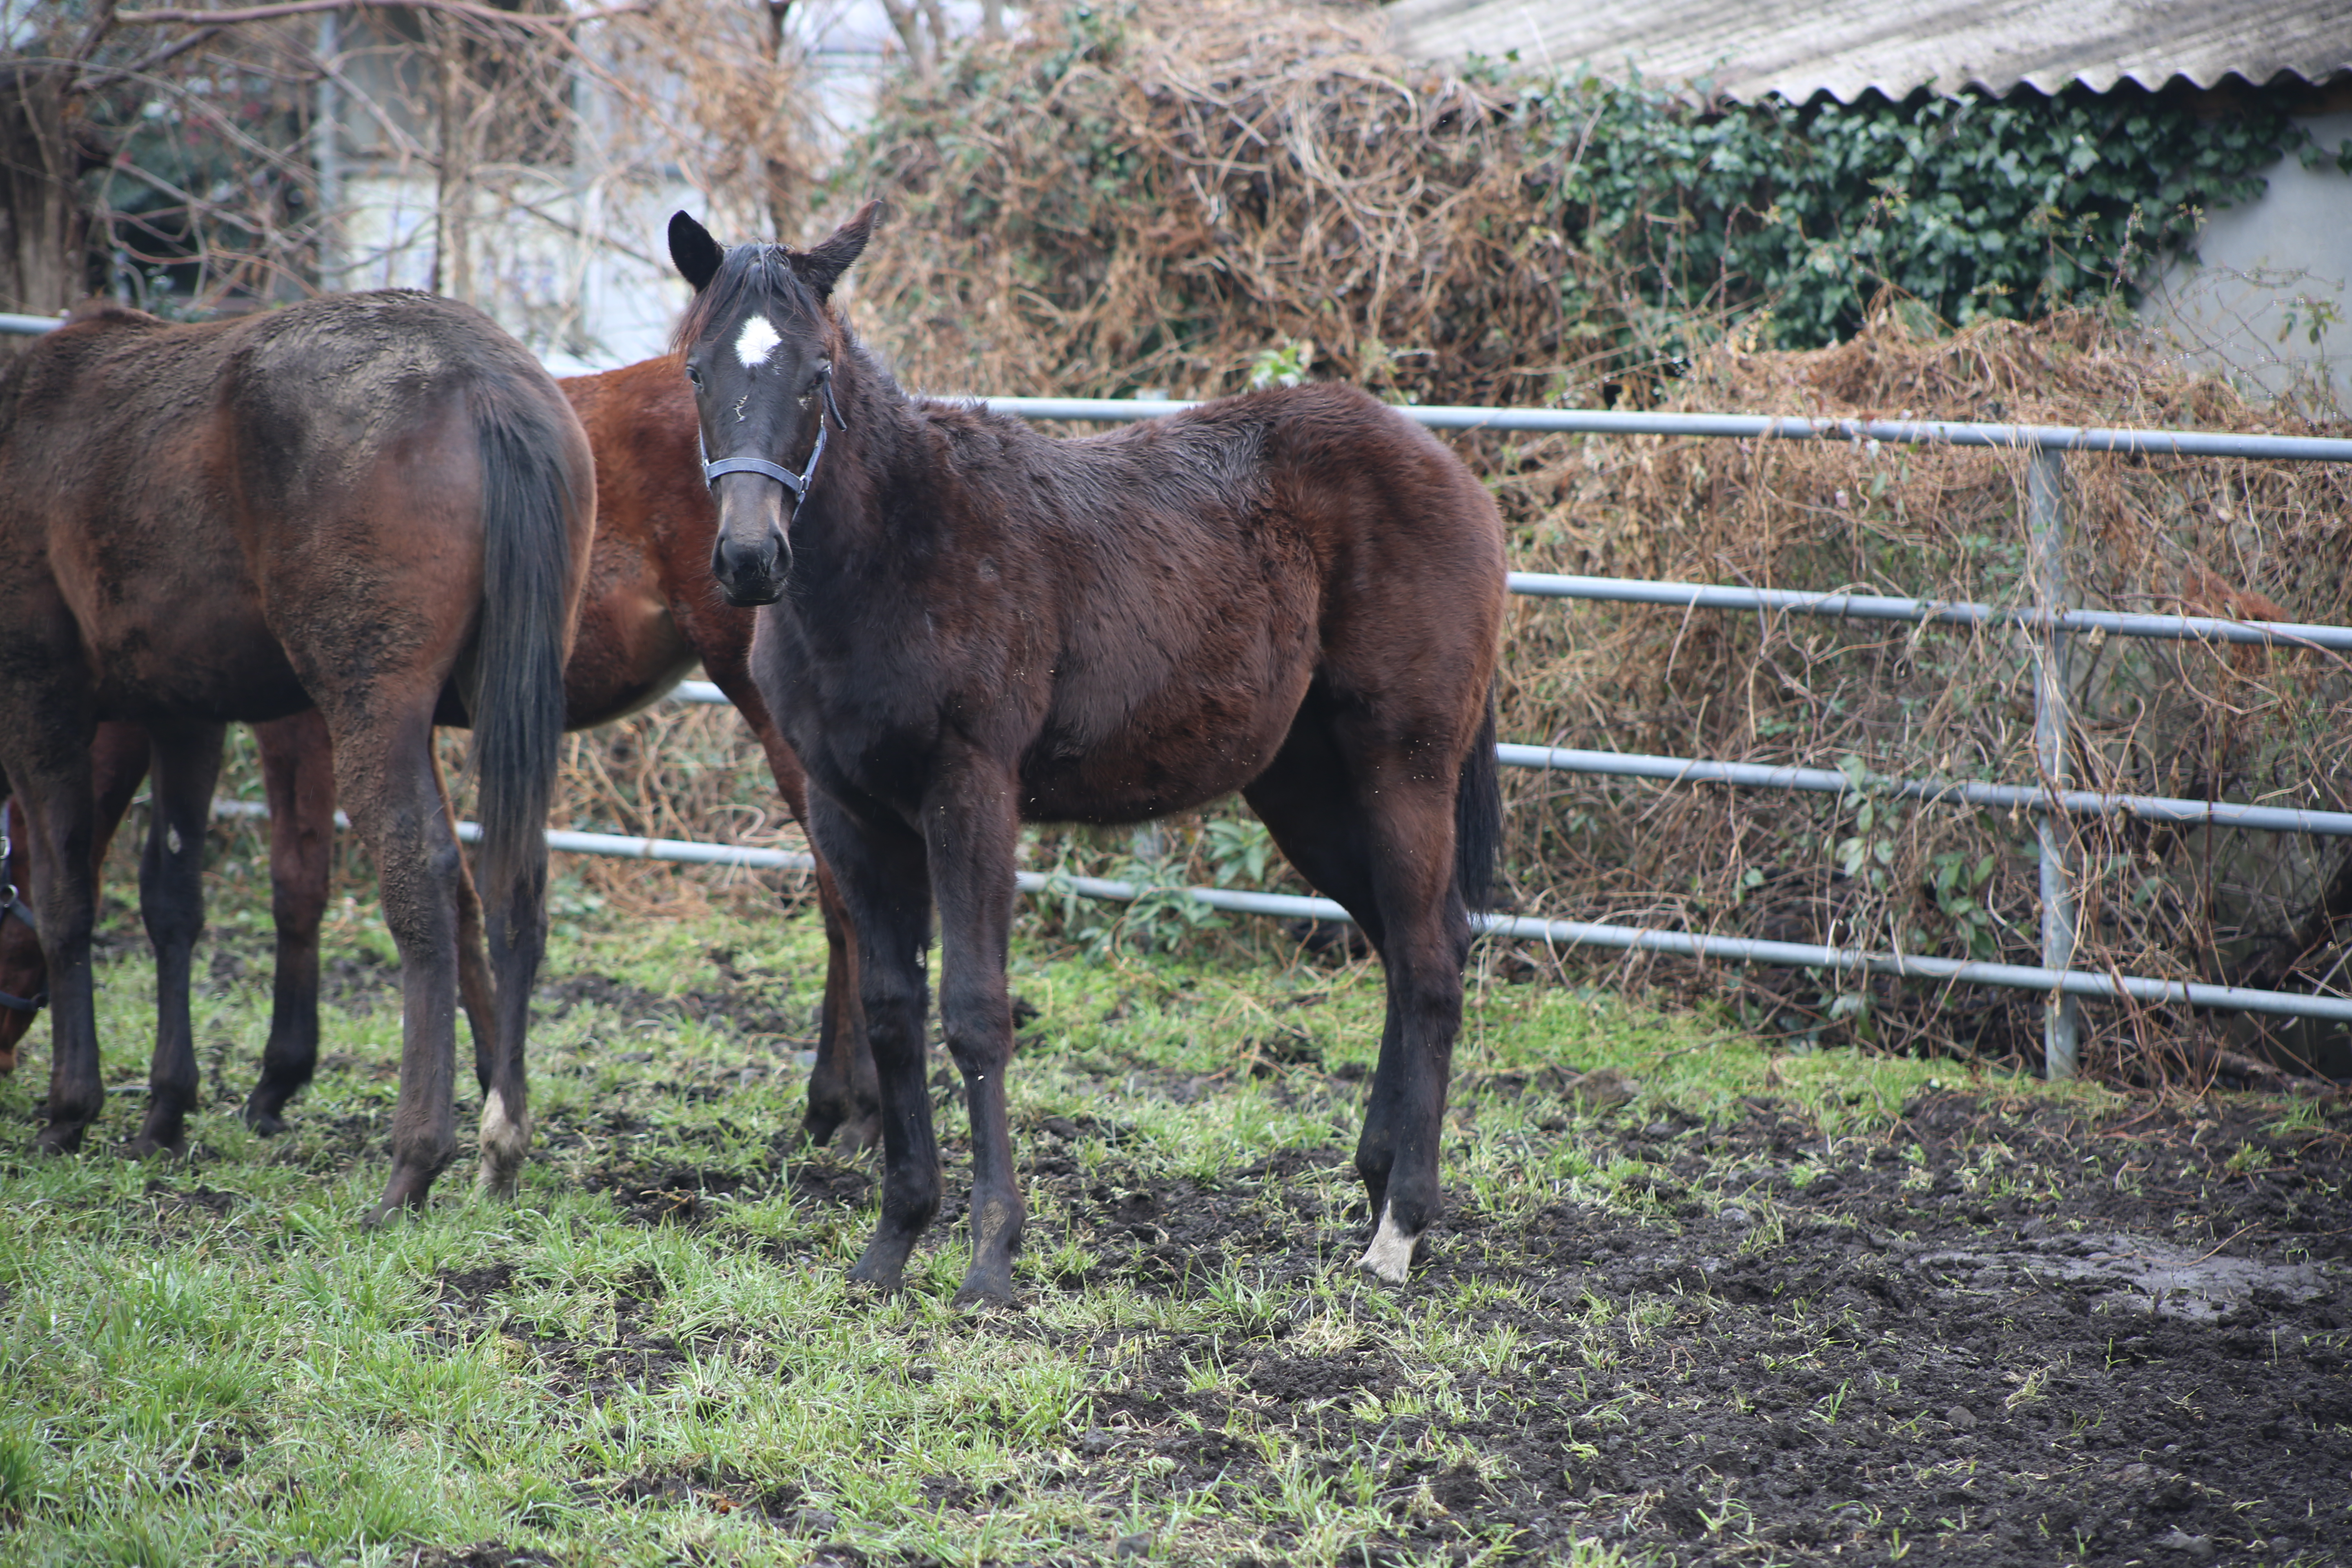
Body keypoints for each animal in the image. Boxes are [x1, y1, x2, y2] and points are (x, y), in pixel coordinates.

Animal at [0, 294, 588, 1222]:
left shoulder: (37, 692)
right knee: (506, 885)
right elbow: (171, 900)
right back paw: (502, 1142)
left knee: (422, 879)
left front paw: (71, 1109)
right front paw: (164, 1109)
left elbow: (64, 894)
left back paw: (415, 1161)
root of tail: (485, 380)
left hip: (370, 707)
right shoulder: (183, 712)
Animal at [0, 355, 880, 1152]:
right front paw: (494, 1084)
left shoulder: (301, 724)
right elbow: (458, 896)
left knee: (845, 897)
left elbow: (299, 885)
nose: (6, 1070)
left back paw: (853, 1113)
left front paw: (277, 1078)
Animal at [663, 212, 1505, 1316]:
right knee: (1404, 951)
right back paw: (1372, 1186)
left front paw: (990, 1257)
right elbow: (891, 1011)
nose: (751, 559)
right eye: (696, 371)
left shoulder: (971, 791)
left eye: (817, 373)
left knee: (1431, 962)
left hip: (1402, 764)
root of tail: (1450, 471)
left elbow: (975, 1013)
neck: (896, 553)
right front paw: (891, 1244)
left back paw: (1400, 1228)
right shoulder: (848, 809)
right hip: (1307, 787)